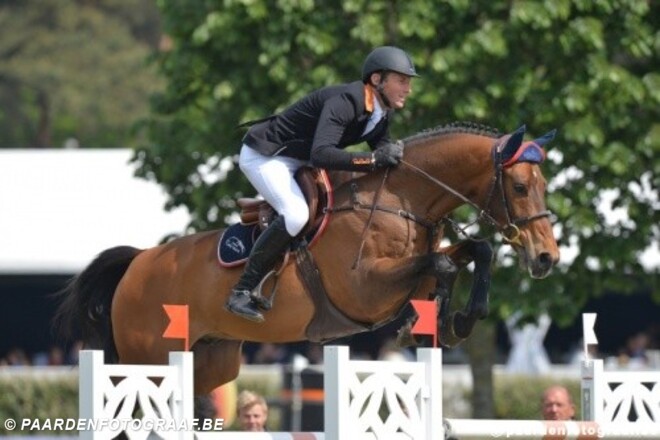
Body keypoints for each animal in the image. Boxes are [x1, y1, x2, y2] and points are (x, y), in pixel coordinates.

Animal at [55, 122, 560, 395]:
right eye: (519, 187)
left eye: (544, 186)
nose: (546, 257)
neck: (399, 198)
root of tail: (138, 262)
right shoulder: (365, 289)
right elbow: (445, 265)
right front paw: (426, 324)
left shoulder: (404, 276)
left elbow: (476, 251)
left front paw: (457, 321)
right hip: (150, 362)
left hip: (210, 361)